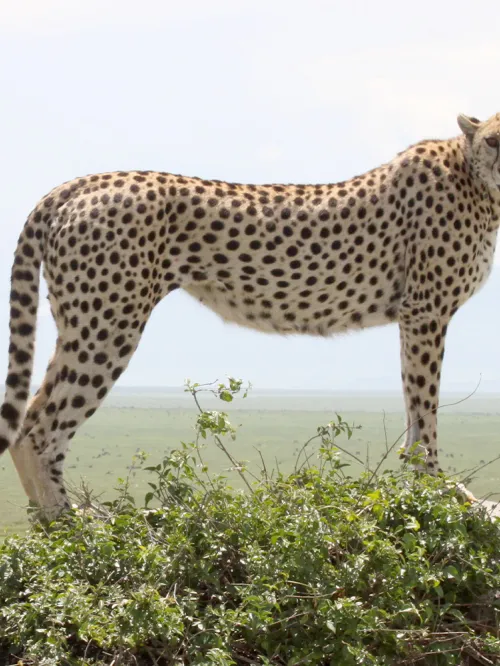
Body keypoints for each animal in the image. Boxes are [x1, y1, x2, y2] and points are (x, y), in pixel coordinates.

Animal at [0, 110, 498, 520]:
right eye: (494, 139)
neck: (476, 179)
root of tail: (81, 182)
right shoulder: (425, 311)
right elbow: (425, 408)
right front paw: (441, 492)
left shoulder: (419, 315)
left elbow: (416, 408)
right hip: (107, 323)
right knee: (39, 430)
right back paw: (72, 526)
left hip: (84, 321)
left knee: (31, 422)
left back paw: (55, 524)